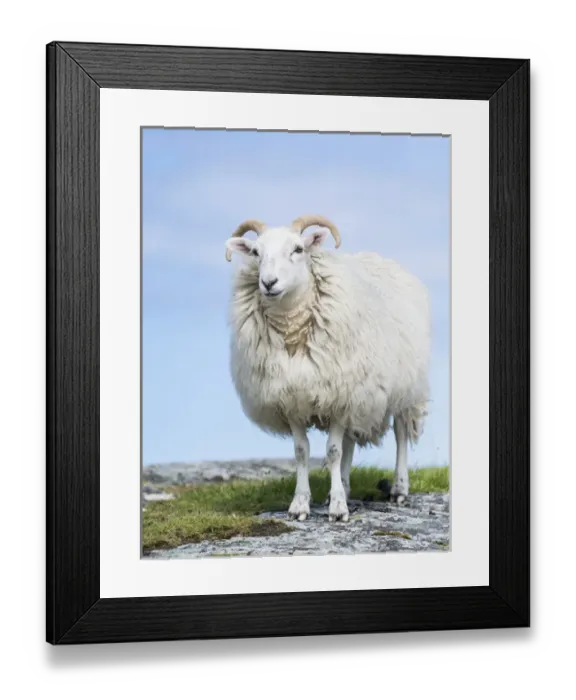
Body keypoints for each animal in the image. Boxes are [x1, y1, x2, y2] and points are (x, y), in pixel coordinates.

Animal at [225, 215, 431, 523]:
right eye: (255, 252)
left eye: (298, 249)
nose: (268, 283)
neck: (292, 327)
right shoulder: (294, 399)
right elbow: (302, 452)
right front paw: (301, 504)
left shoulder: (338, 396)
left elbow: (332, 452)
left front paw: (337, 508)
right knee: (349, 443)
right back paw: (344, 485)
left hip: (404, 391)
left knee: (401, 434)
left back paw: (398, 488)